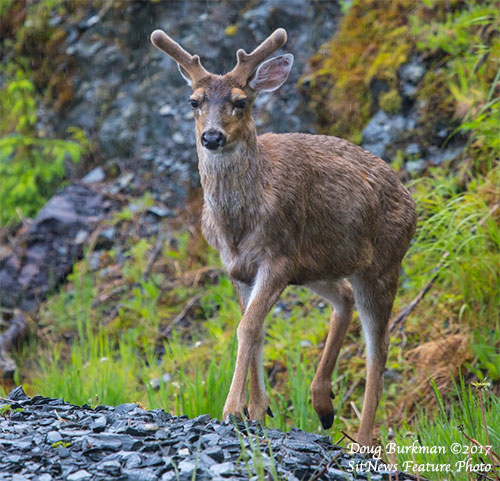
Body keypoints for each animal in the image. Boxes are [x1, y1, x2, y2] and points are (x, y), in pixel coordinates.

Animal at [150, 27, 416, 446]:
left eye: (240, 101)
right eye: (194, 101)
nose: (212, 137)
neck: (238, 223)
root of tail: (411, 200)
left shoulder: (277, 256)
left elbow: (247, 327)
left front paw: (231, 410)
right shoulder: (238, 268)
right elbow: (255, 328)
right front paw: (258, 410)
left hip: (383, 264)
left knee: (379, 347)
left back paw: (361, 439)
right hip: (319, 265)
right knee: (343, 298)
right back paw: (322, 403)